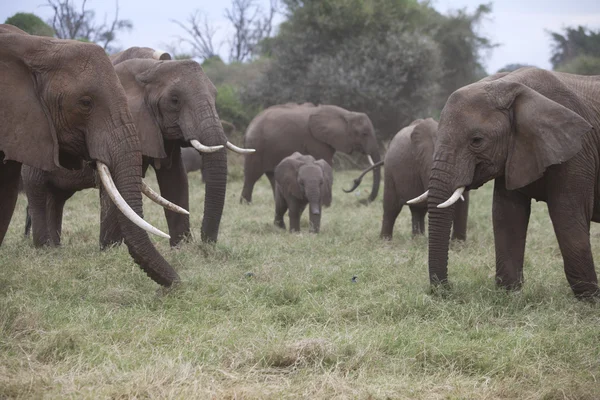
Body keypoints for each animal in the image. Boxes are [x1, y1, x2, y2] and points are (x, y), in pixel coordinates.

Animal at [22, 46, 252, 247]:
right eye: (175, 100)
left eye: (215, 96)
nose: (207, 244)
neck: (151, 67)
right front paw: (110, 251)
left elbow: (175, 179)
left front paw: (182, 248)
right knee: (38, 188)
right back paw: (44, 247)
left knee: (56, 197)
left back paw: (55, 248)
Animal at [239, 101, 380, 205]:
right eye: (364, 134)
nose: (363, 201)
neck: (346, 115)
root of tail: (250, 126)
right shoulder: (316, 140)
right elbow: (325, 163)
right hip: (256, 147)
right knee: (252, 176)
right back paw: (246, 204)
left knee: (273, 176)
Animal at [408, 66, 600, 296]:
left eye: (477, 141)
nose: (446, 288)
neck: (508, 85)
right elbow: (507, 214)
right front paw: (509, 293)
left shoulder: (576, 152)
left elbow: (567, 216)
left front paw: (588, 298)